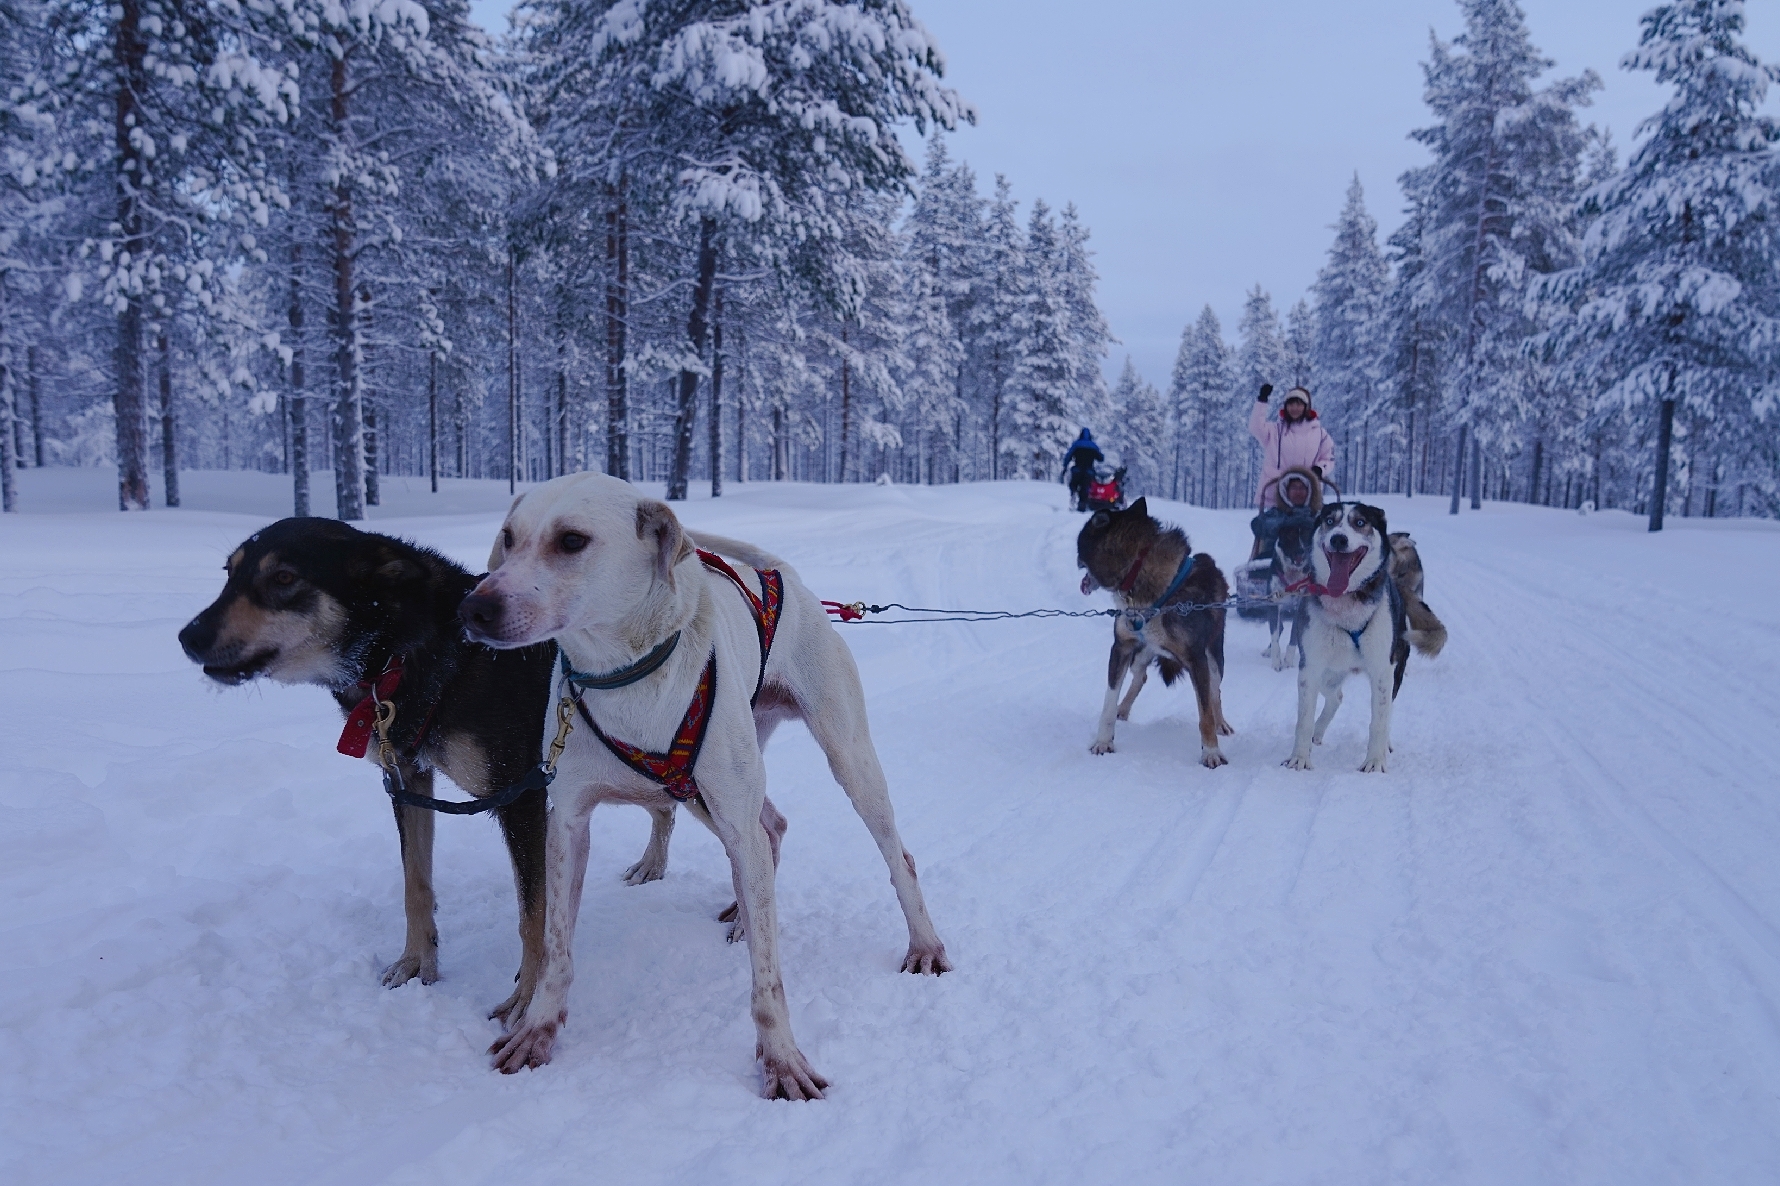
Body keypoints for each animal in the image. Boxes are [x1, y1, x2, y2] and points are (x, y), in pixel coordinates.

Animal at [175, 516, 672, 1025]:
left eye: (283, 578)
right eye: (229, 573)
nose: (188, 637)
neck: (414, 655)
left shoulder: (521, 798)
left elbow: (533, 914)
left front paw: (529, 996)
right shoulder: (407, 783)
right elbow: (415, 884)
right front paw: (416, 961)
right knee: (664, 807)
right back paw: (652, 865)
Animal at [466, 466, 954, 1096]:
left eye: (572, 540)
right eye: (508, 537)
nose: (473, 608)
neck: (625, 678)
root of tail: (785, 577)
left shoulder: (731, 811)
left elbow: (769, 981)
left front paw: (781, 1058)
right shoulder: (569, 821)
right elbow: (556, 950)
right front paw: (539, 1029)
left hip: (844, 764)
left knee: (893, 857)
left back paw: (923, 942)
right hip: (709, 797)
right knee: (771, 827)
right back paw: (747, 914)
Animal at [1075, 491, 1231, 762]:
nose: (1076, 559)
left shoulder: (1197, 659)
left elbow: (1205, 713)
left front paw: (1211, 752)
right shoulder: (1122, 647)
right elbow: (1108, 701)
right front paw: (1104, 741)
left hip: (1213, 659)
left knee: (1215, 692)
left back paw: (1221, 723)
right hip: (1141, 654)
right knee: (1141, 677)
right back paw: (1123, 708)